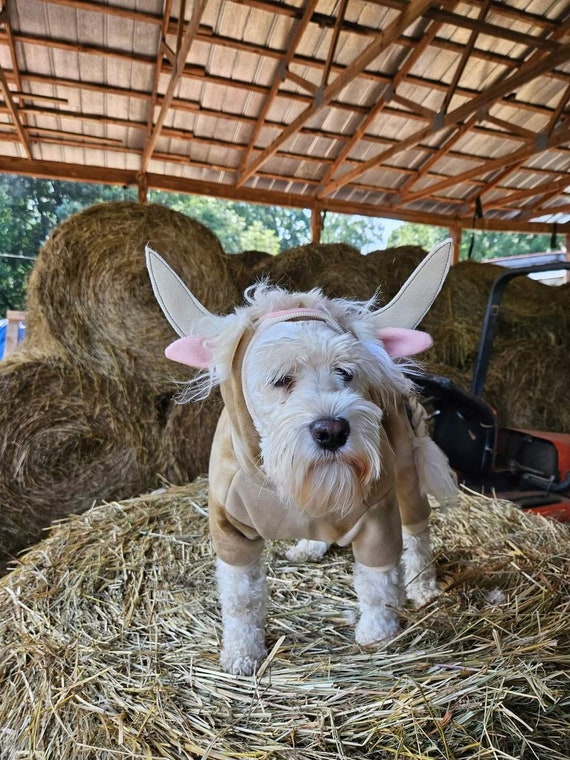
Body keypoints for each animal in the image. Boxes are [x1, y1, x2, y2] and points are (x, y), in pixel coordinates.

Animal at [148, 240, 458, 672]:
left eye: (345, 373)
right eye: (281, 379)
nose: (332, 430)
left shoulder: (377, 515)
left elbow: (377, 583)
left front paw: (377, 633)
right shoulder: (230, 529)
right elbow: (240, 598)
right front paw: (242, 652)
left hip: (407, 475)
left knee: (417, 534)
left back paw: (423, 583)